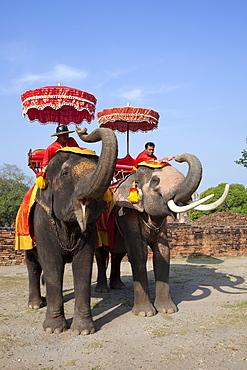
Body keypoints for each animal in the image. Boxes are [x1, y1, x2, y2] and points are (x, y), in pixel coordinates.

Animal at [25, 128, 117, 336]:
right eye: (66, 173)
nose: (82, 129)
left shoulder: (89, 230)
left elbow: (83, 264)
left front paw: (83, 331)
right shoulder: (43, 220)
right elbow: (52, 265)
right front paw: (53, 330)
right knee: (33, 265)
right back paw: (35, 305)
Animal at [94, 155, 228, 316]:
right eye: (155, 181)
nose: (178, 157)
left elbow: (163, 252)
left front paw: (168, 310)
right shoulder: (126, 213)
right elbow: (138, 253)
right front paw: (145, 313)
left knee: (118, 255)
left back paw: (119, 286)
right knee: (101, 255)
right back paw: (102, 290)